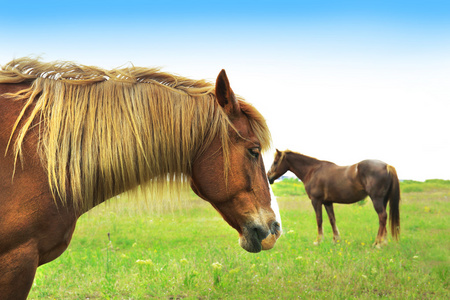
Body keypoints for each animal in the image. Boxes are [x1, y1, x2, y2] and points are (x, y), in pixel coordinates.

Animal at [266, 149, 400, 246]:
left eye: (275, 162)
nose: (268, 177)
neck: (313, 171)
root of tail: (387, 166)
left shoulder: (316, 201)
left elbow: (319, 219)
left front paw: (318, 240)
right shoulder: (328, 202)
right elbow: (332, 220)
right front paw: (336, 240)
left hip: (376, 199)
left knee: (382, 216)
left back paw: (377, 243)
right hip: (383, 200)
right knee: (383, 218)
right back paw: (384, 242)